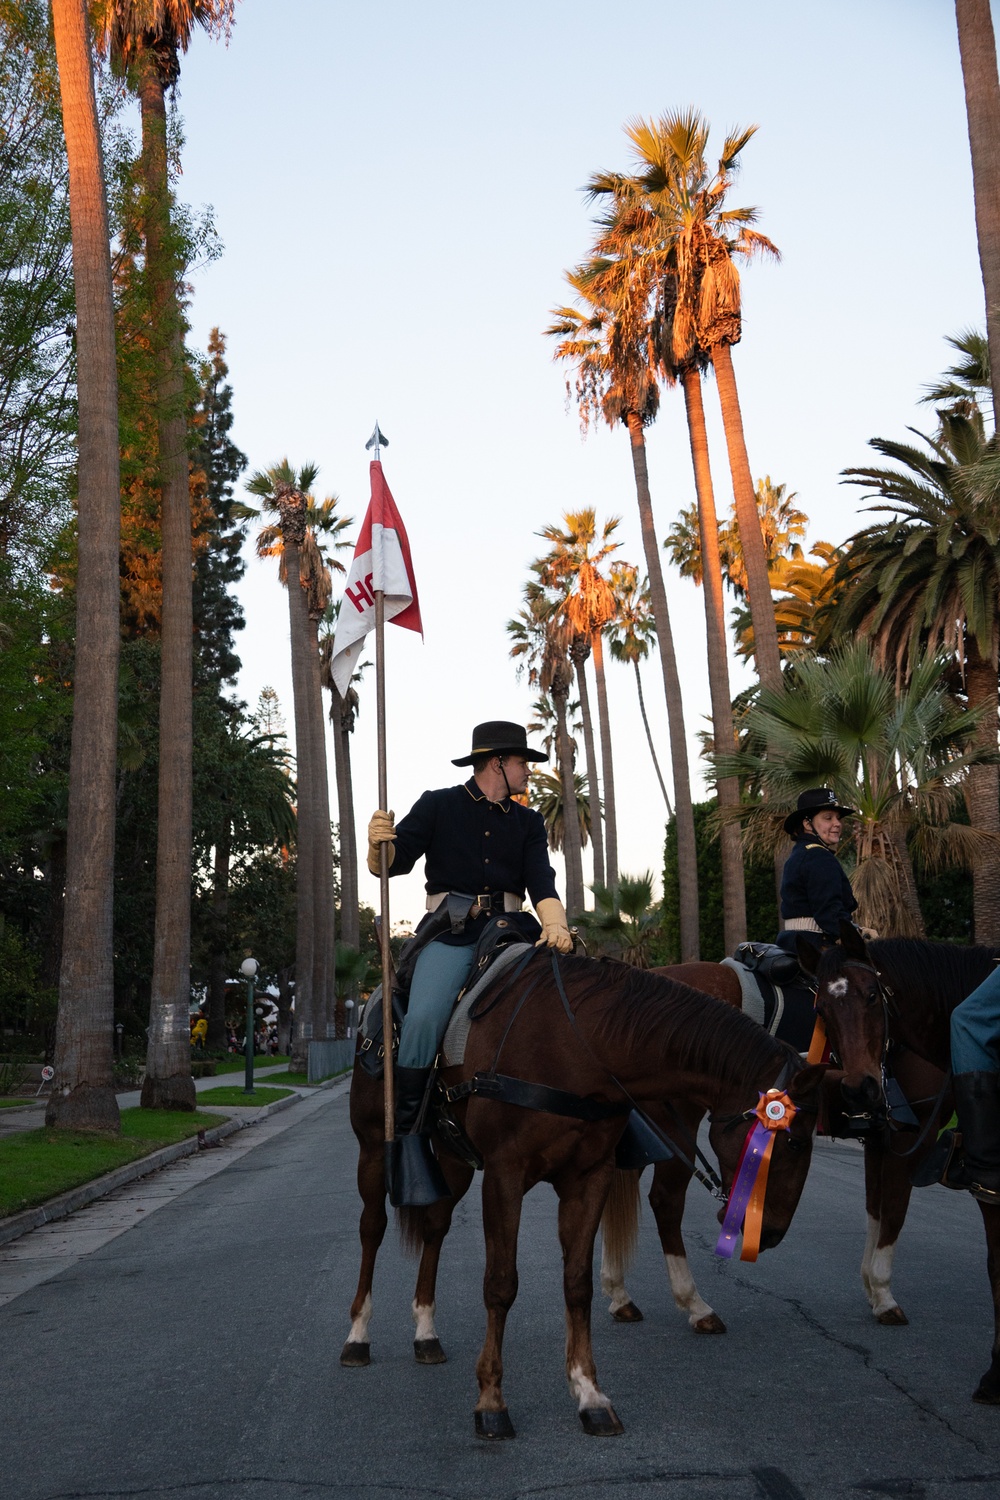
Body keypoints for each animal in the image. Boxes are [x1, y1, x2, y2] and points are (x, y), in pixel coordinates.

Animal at [340, 954, 827, 1434]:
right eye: (795, 1142)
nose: (771, 1233)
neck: (579, 1048)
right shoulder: (504, 1176)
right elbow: (500, 1283)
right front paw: (492, 1401)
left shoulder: (589, 1178)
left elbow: (577, 1283)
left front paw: (589, 1393)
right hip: (372, 1151)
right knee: (372, 1228)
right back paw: (358, 1335)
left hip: (452, 1157)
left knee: (436, 1227)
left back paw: (425, 1331)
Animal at [599, 948, 887, 1326]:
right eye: (795, 1143)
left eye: (873, 999)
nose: (865, 1087)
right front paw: (883, 1294)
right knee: (665, 1200)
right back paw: (694, 1303)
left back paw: (620, 1294)